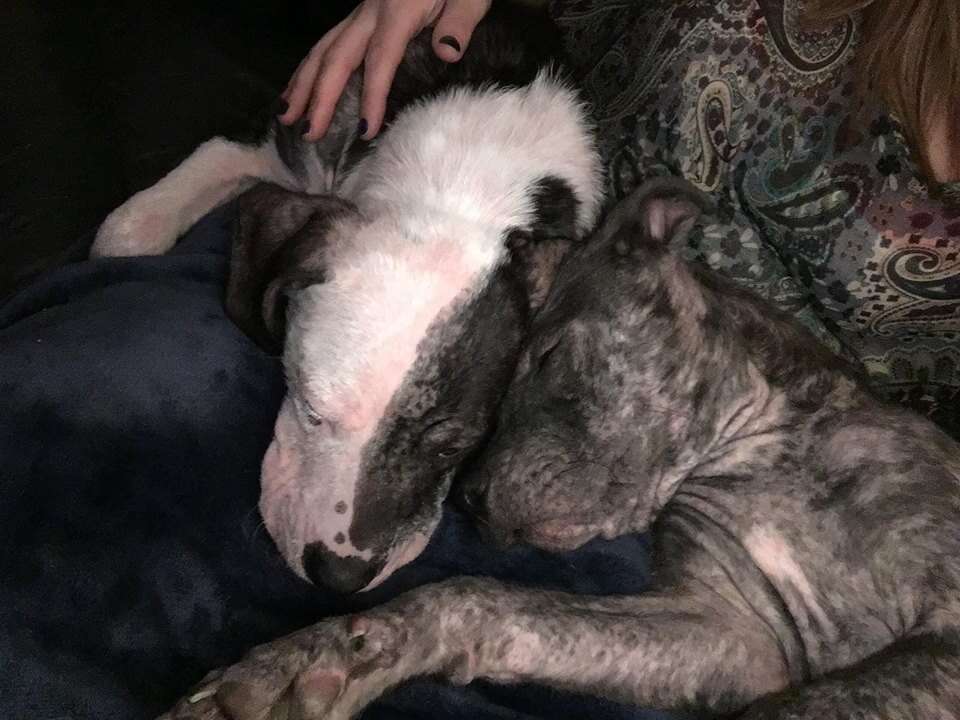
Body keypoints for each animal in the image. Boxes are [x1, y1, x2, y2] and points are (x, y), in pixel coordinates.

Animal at [165, 181, 960, 720]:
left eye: (546, 355)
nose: (472, 502)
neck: (753, 441)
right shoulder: (736, 628)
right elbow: (480, 600)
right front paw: (311, 661)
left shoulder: (941, 636)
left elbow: (801, 706)